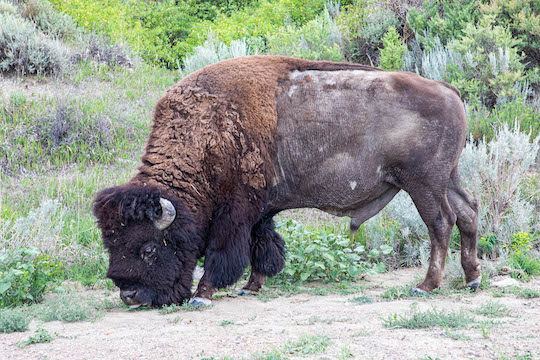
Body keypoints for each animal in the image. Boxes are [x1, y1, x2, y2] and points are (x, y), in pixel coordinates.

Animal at [93, 54, 480, 308]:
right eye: (110, 243)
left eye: (148, 248)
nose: (129, 295)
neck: (208, 131)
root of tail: (448, 90)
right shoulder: (261, 210)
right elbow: (262, 246)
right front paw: (251, 287)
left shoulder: (235, 211)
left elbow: (224, 251)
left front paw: (203, 295)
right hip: (448, 178)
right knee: (468, 213)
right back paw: (472, 279)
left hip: (423, 184)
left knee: (440, 223)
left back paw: (426, 286)